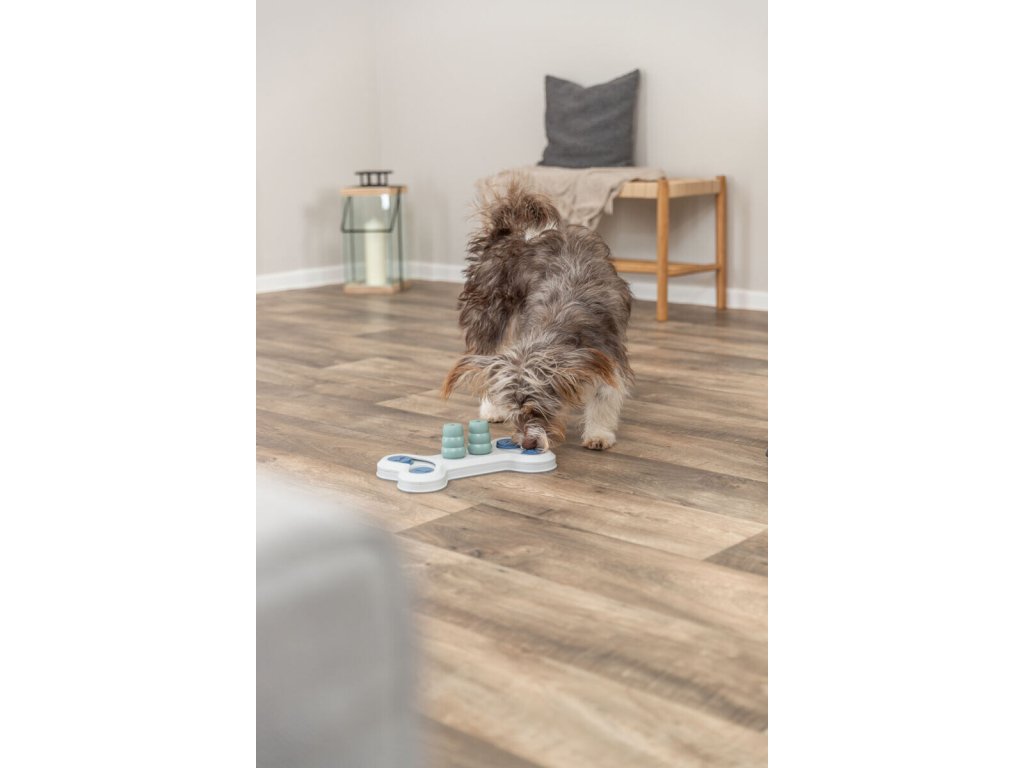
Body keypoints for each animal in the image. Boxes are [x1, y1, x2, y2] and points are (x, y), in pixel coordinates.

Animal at [441, 180, 634, 452]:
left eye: (537, 411)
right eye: (516, 413)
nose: (528, 444)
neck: (559, 315)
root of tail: (505, 233)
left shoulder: (609, 352)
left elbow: (604, 395)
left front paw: (599, 433)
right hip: (489, 318)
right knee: (486, 358)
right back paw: (491, 409)